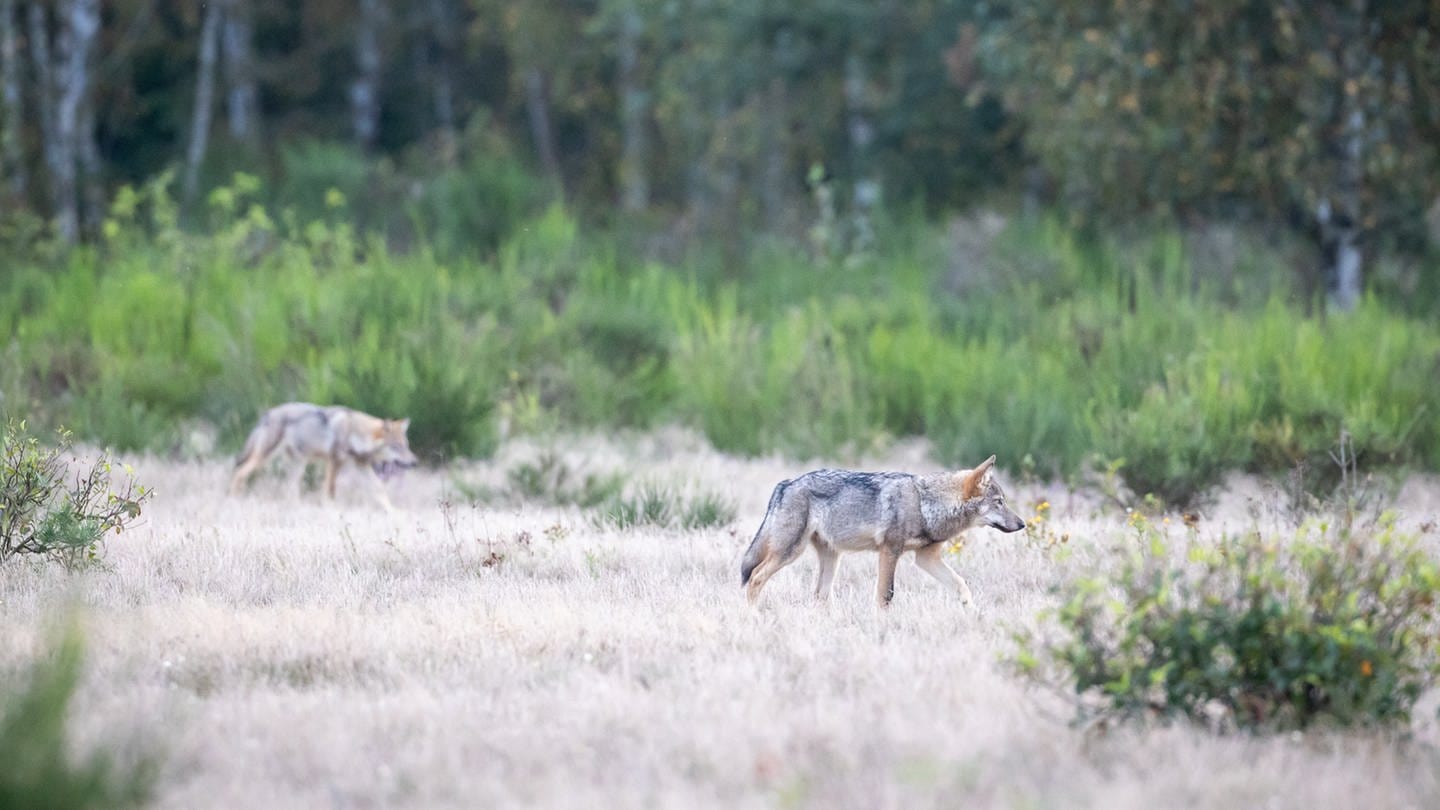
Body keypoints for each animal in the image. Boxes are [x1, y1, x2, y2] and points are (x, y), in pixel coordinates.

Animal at [226, 400, 417, 510]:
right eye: (396, 447)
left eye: (406, 446)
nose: (415, 462)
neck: (354, 432)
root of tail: (267, 414)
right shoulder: (334, 462)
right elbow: (330, 491)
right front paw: (331, 512)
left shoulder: (361, 466)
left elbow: (380, 491)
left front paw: (395, 515)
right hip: (263, 459)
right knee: (239, 473)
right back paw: (234, 501)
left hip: (298, 465)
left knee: (289, 489)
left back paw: (298, 509)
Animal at [743, 455, 1025, 605]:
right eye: (999, 502)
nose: (1022, 524)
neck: (925, 504)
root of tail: (786, 483)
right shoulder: (890, 551)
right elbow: (885, 595)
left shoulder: (927, 558)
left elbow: (962, 585)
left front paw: (972, 615)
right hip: (790, 552)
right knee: (755, 577)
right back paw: (753, 617)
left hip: (831, 558)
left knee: (820, 595)